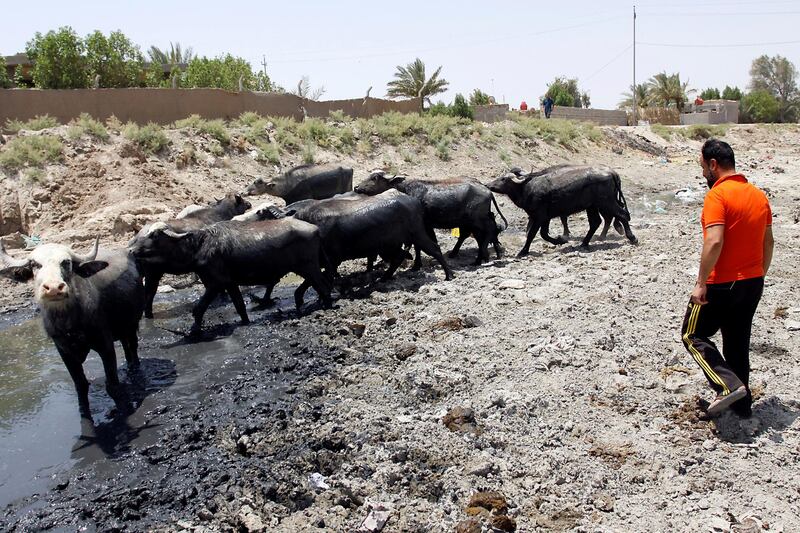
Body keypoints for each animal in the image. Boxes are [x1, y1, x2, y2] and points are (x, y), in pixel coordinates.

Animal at [0, 239, 142, 418]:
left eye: (66, 262)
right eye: (35, 264)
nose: (54, 288)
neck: (69, 323)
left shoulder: (105, 344)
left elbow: (112, 385)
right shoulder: (64, 351)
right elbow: (80, 385)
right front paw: (84, 414)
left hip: (133, 322)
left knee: (133, 346)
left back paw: (135, 369)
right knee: (126, 346)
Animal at [128, 217, 332, 332]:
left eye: (154, 235)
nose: (130, 250)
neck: (200, 245)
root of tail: (315, 229)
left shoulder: (216, 283)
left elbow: (199, 308)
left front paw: (194, 330)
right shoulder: (230, 283)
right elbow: (240, 306)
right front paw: (245, 322)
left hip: (309, 267)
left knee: (323, 287)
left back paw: (326, 306)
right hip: (307, 268)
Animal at [288, 190, 454, 282]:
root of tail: (415, 201)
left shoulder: (332, 259)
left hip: (417, 234)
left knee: (434, 249)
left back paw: (449, 275)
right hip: (391, 244)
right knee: (399, 257)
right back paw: (385, 277)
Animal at [354, 172, 510, 266]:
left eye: (374, 178)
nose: (356, 187)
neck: (409, 191)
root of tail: (487, 190)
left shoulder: (420, 225)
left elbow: (418, 245)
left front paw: (417, 265)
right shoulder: (426, 225)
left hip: (478, 220)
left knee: (490, 231)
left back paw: (483, 257)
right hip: (473, 222)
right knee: (480, 235)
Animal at [488, 163, 636, 255]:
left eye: (503, 179)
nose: (488, 185)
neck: (527, 187)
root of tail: (612, 173)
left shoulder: (539, 217)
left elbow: (532, 234)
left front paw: (523, 251)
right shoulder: (545, 218)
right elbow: (544, 234)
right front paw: (561, 240)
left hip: (606, 202)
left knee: (622, 215)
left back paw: (632, 238)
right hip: (592, 206)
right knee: (596, 222)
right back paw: (584, 243)